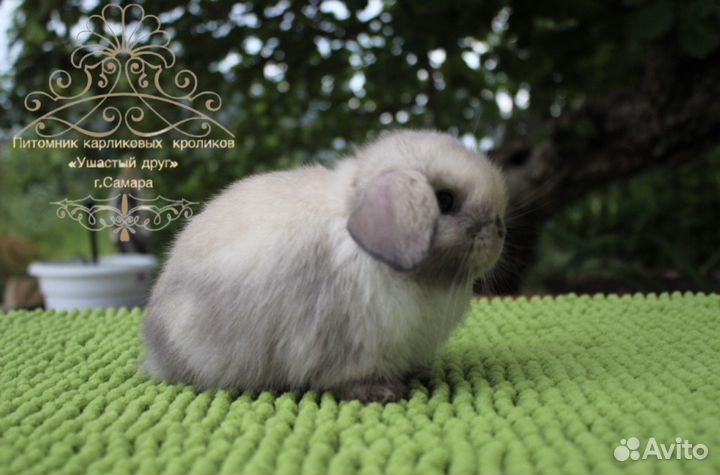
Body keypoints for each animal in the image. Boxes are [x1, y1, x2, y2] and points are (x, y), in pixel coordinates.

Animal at [142, 129, 507, 403]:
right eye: (444, 200)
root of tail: (156, 351)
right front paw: (381, 392)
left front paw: (420, 374)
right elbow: (350, 377)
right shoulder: (350, 347)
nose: (500, 228)